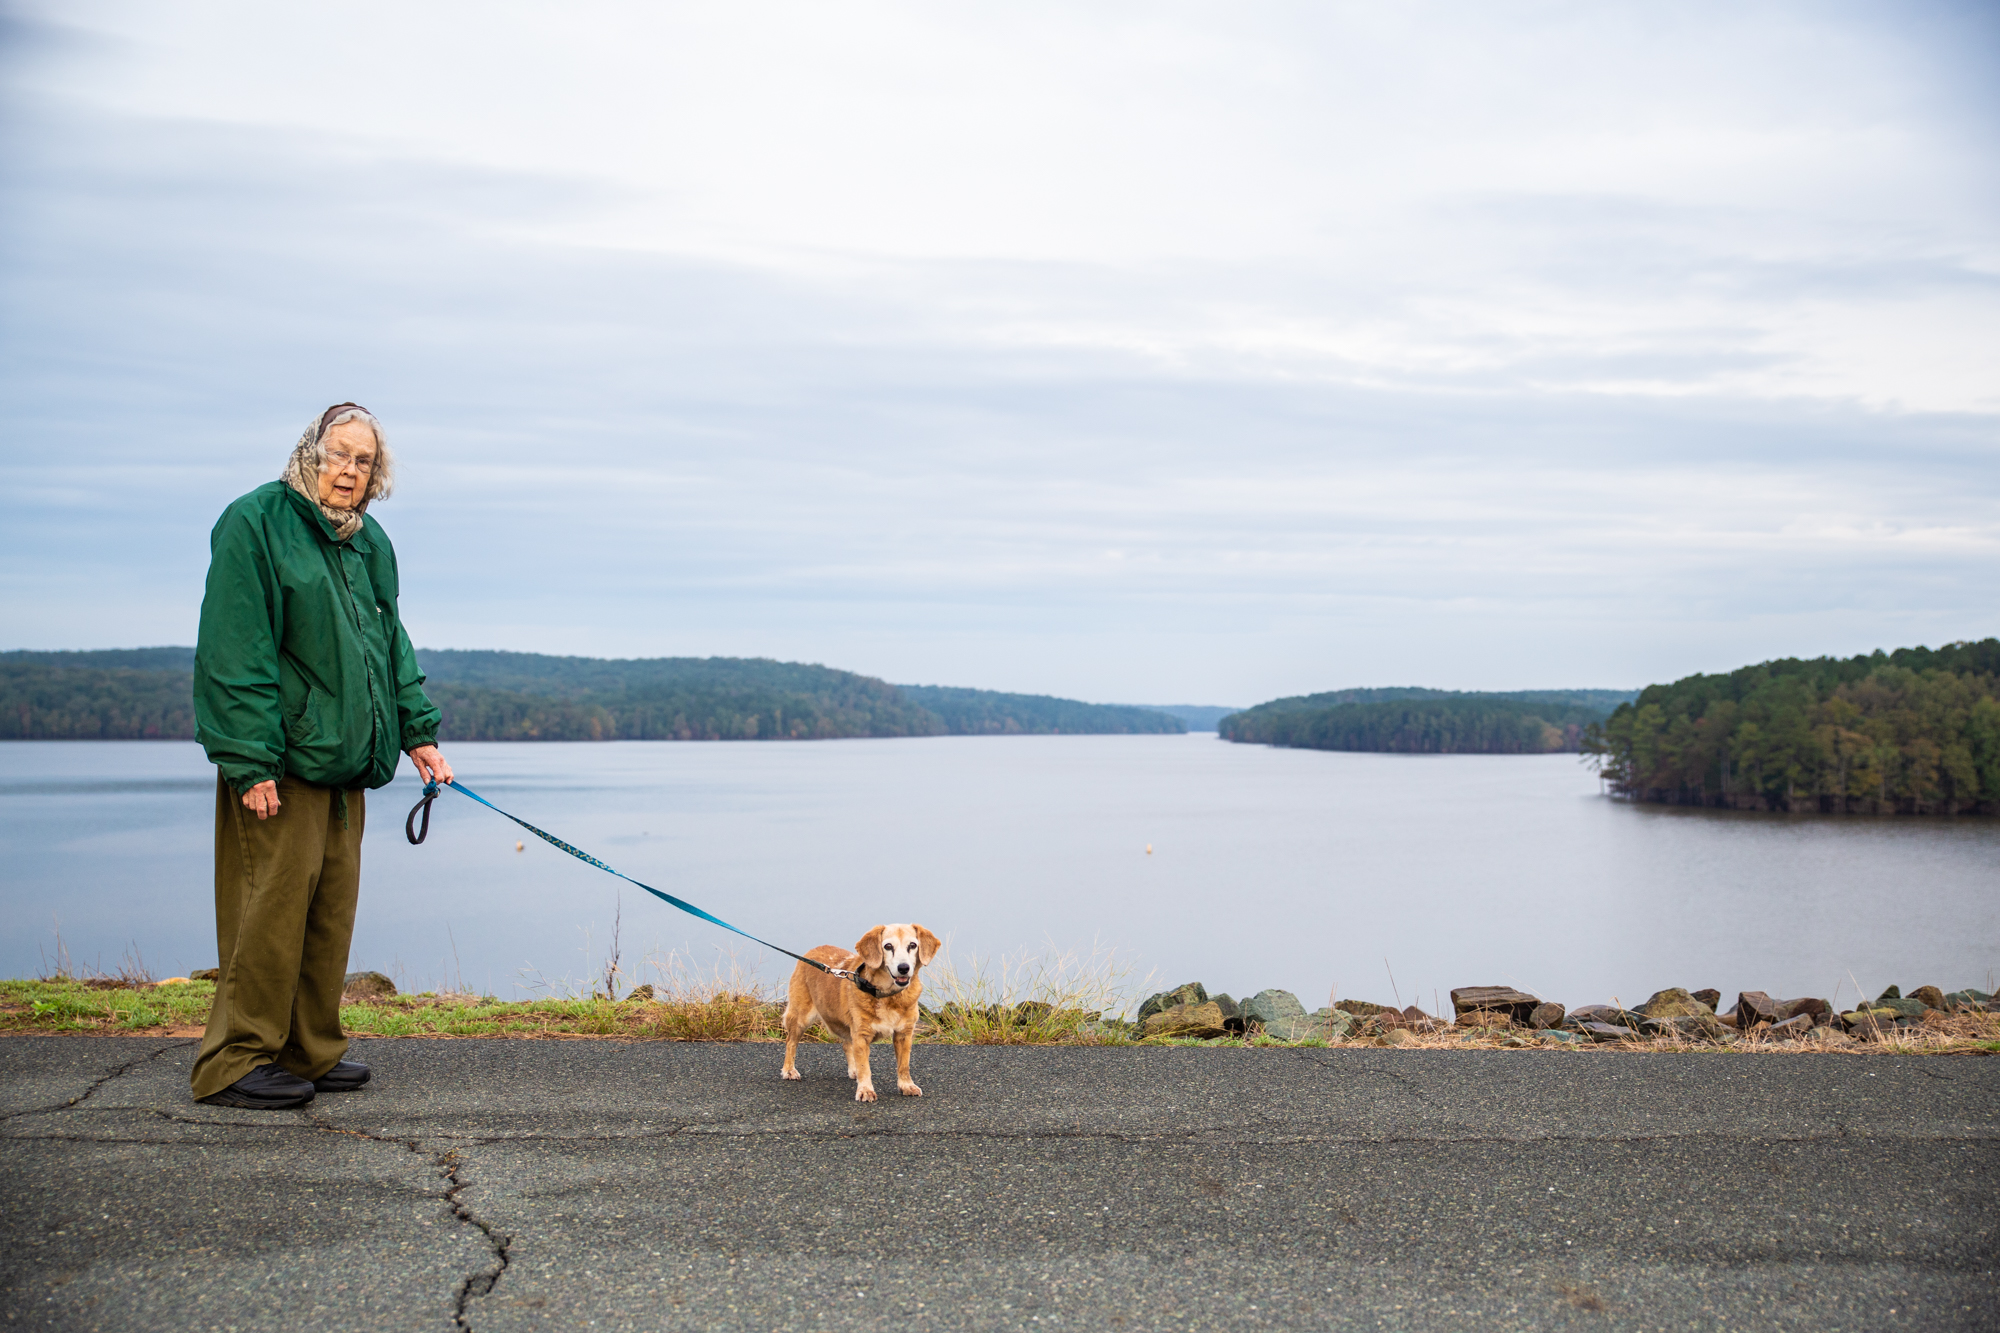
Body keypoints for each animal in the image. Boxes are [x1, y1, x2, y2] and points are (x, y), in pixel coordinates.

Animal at [776, 920, 940, 1096]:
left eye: (913, 945)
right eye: (888, 946)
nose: (904, 968)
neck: (887, 996)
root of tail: (810, 952)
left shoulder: (904, 1034)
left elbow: (904, 1065)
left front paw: (906, 1085)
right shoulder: (862, 1035)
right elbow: (865, 1067)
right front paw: (865, 1090)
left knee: (847, 1044)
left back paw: (853, 1071)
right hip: (800, 1018)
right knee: (790, 1042)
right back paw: (789, 1070)